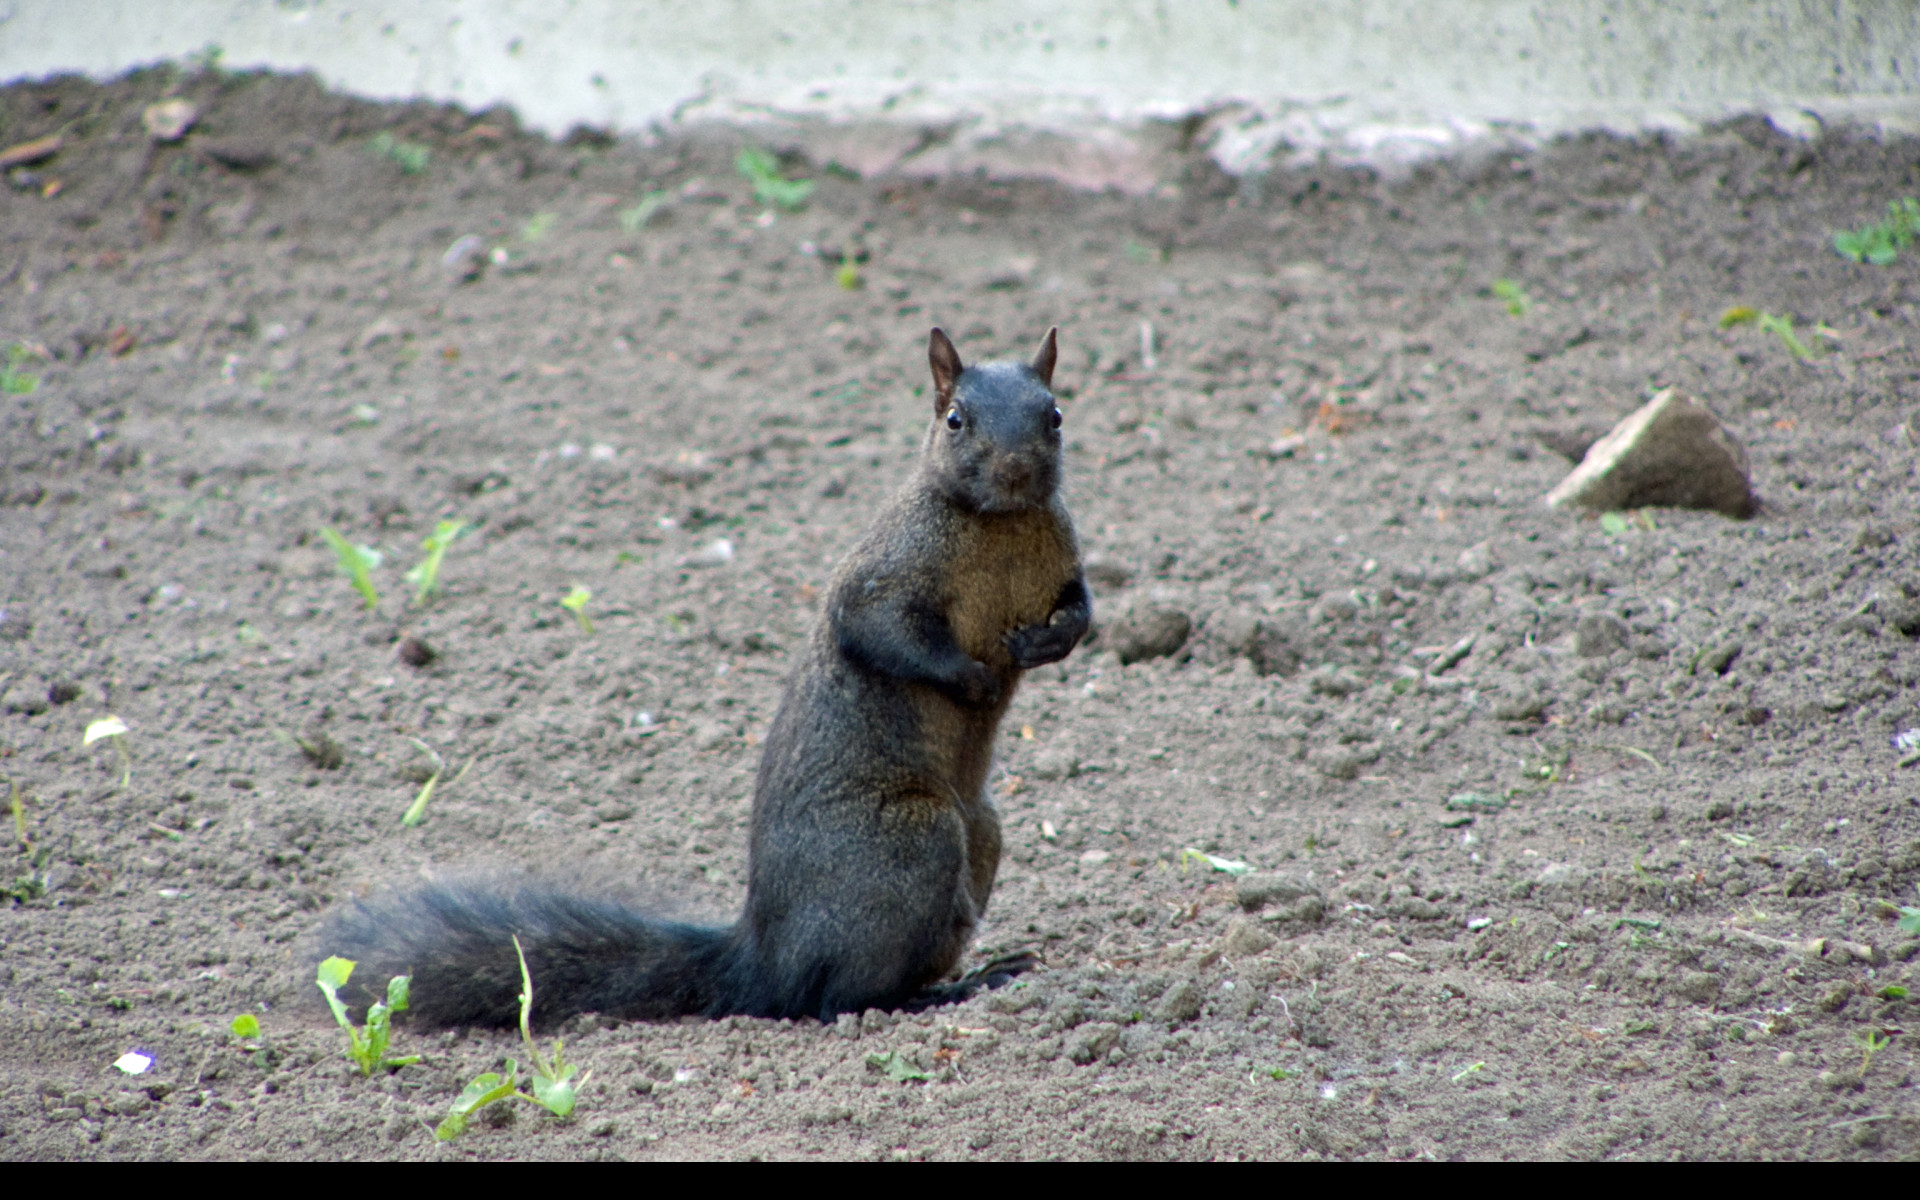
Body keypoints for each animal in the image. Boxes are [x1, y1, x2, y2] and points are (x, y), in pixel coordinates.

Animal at [322, 328, 1090, 1021]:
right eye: (955, 419)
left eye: (1055, 414)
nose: (1016, 470)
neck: (999, 522)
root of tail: (763, 962)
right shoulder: (884, 574)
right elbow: (880, 631)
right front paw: (973, 679)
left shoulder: (1063, 566)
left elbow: (1081, 613)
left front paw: (1045, 644)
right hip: (909, 844)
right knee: (840, 999)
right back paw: (948, 990)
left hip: (979, 834)